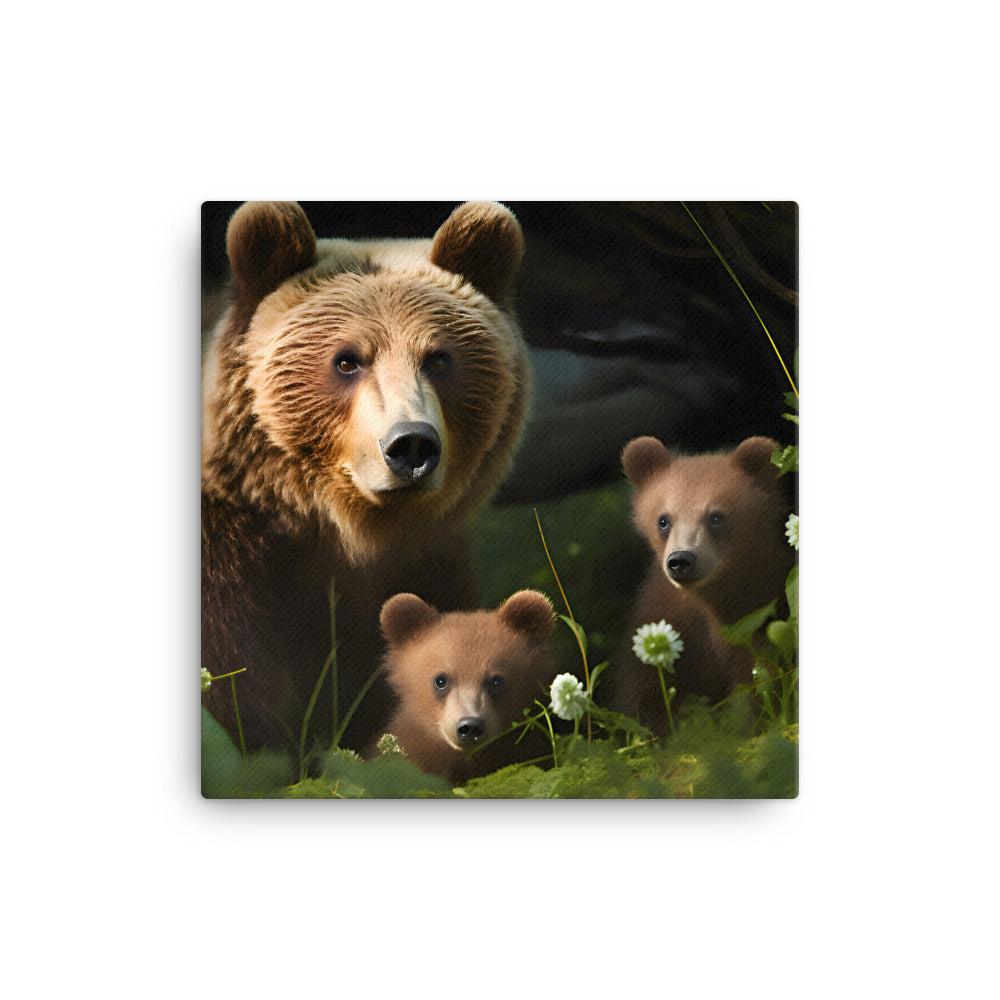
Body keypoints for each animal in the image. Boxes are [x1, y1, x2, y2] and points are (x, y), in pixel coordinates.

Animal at [612, 435, 794, 732]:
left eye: (716, 516)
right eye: (663, 520)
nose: (681, 560)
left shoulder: (755, 615)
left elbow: (758, 681)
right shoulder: (667, 616)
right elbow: (647, 692)